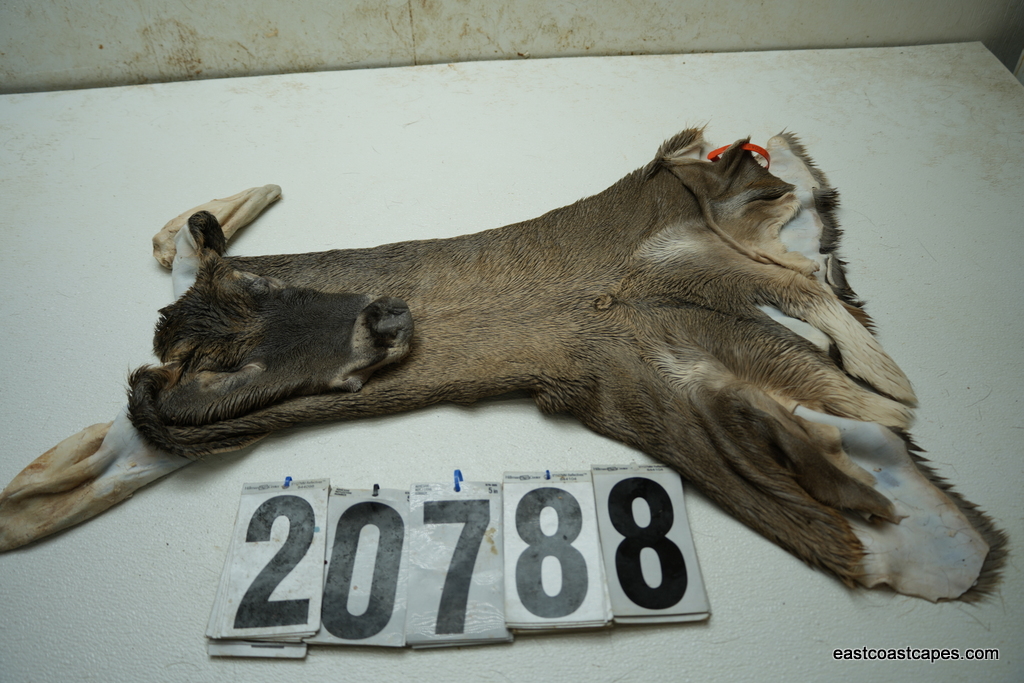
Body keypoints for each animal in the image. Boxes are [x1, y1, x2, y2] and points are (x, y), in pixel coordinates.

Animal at [0, 129, 1006, 604]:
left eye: (259, 278)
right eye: (215, 376)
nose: (391, 313)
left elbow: (175, 231)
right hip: (683, 399)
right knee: (851, 446)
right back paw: (866, 418)